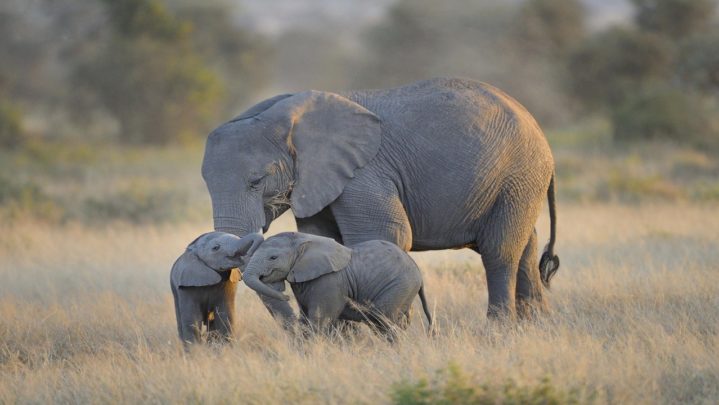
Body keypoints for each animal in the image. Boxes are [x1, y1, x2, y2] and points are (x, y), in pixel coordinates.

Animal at [202, 77, 560, 321]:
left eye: (256, 182)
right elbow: (321, 239)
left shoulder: (364, 173)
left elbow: (385, 235)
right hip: (515, 183)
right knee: (525, 246)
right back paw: (535, 326)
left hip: (519, 174)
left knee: (500, 250)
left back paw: (498, 330)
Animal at [242, 232, 432, 337]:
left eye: (273, 257)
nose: (286, 296)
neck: (303, 239)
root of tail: (419, 273)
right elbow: (305, 318)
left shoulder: (329, 281)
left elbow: (319, 320)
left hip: (399, 286)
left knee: (385, 321)